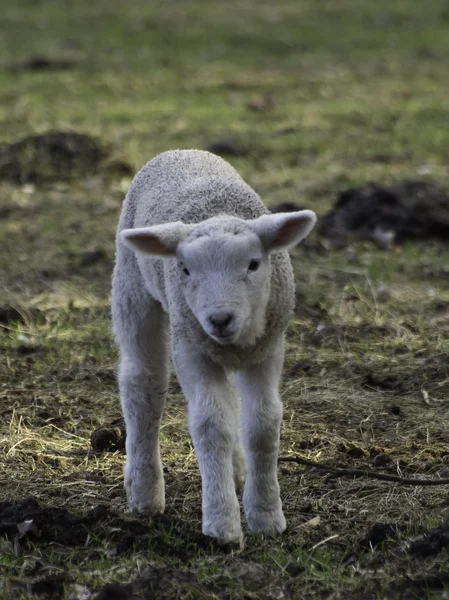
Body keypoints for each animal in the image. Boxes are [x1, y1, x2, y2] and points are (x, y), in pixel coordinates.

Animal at [111, 149, 316, 544]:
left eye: (253, 264)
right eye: (185, 269)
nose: (219, 318)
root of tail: (180, 151)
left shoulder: (269, 349)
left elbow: (263, 424)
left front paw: (266, 516)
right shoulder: (192, 349)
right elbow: (210, 425)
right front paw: (222, 524)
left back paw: (235, 471)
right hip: (132, 288)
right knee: (143, 384)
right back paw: (145, 493)